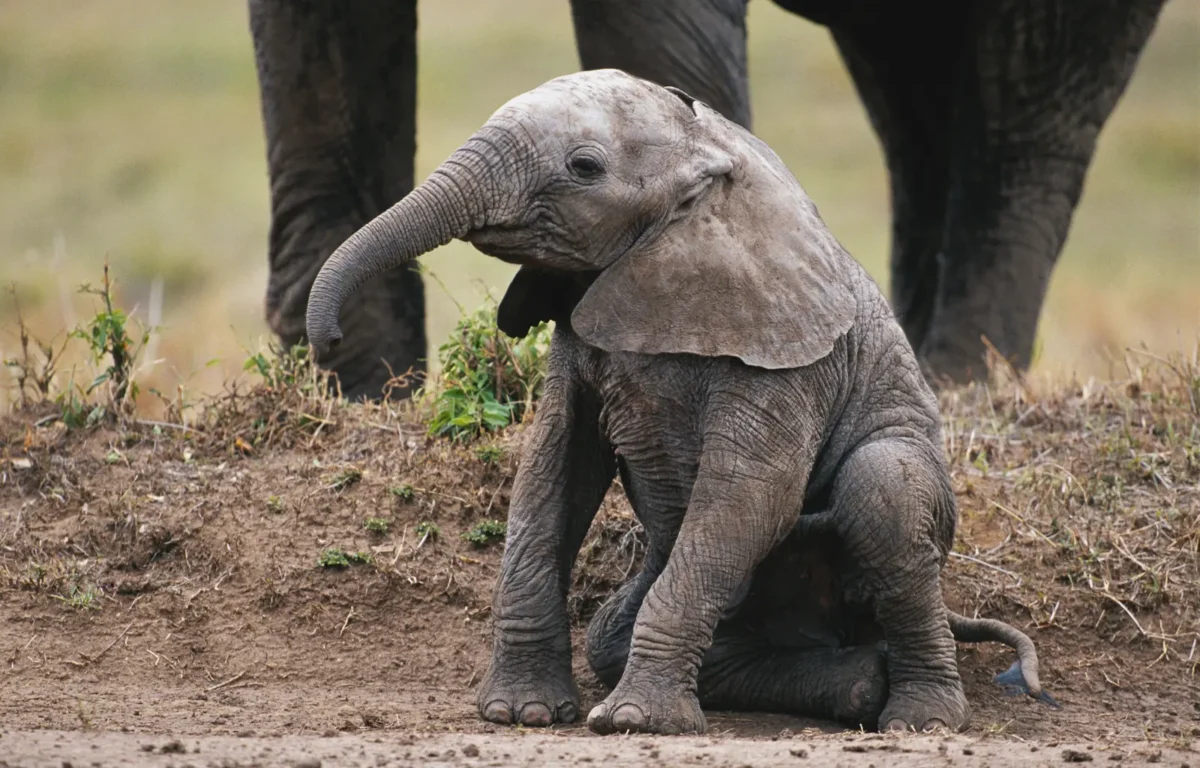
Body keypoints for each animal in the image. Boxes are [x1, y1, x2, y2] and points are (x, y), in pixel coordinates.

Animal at [251, 0, 1167, 398]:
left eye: (585, 167)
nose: (325, 336)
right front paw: (360, 394)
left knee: (1026, 96)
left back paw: (964, 383)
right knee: (916, 100)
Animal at [304, 70, 1056, 735]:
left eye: (584, 166)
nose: (326, 340)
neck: (706, 158)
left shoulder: (785, 354)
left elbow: (751, 495)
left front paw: (634, 723)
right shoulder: (579, 336)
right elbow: (552, 476)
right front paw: (522, 715)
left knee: (883, 488)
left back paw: (919, 718)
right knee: (614, 635)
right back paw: (859, 684)